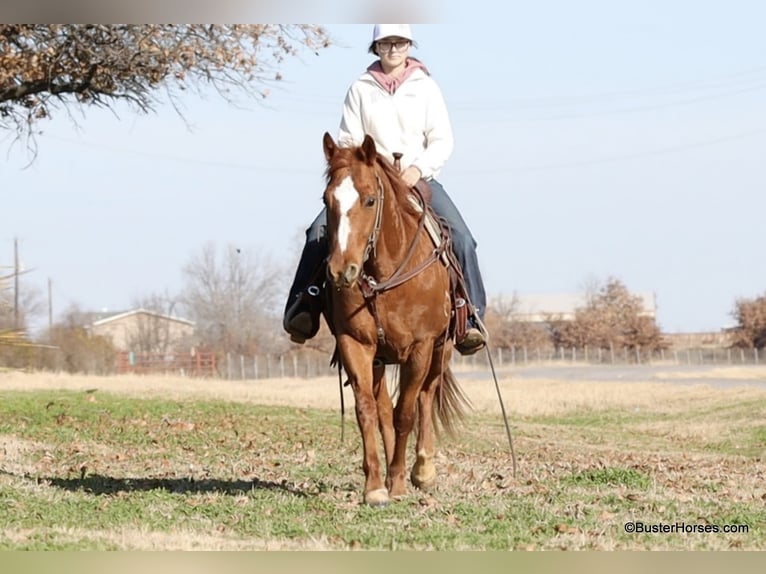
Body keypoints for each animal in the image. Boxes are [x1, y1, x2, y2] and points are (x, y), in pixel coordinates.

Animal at [321, 132, 471, 506]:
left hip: (441, 351)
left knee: (425, 398)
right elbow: (368, 411)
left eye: (370, 200)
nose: (341, 271)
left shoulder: (420, 348)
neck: (385, 276)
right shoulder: (356, 345)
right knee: (384, 410)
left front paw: (401, 481)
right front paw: (376, 486)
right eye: (327, 199)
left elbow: (407, 412)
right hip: (380, 359)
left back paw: (422, 469)